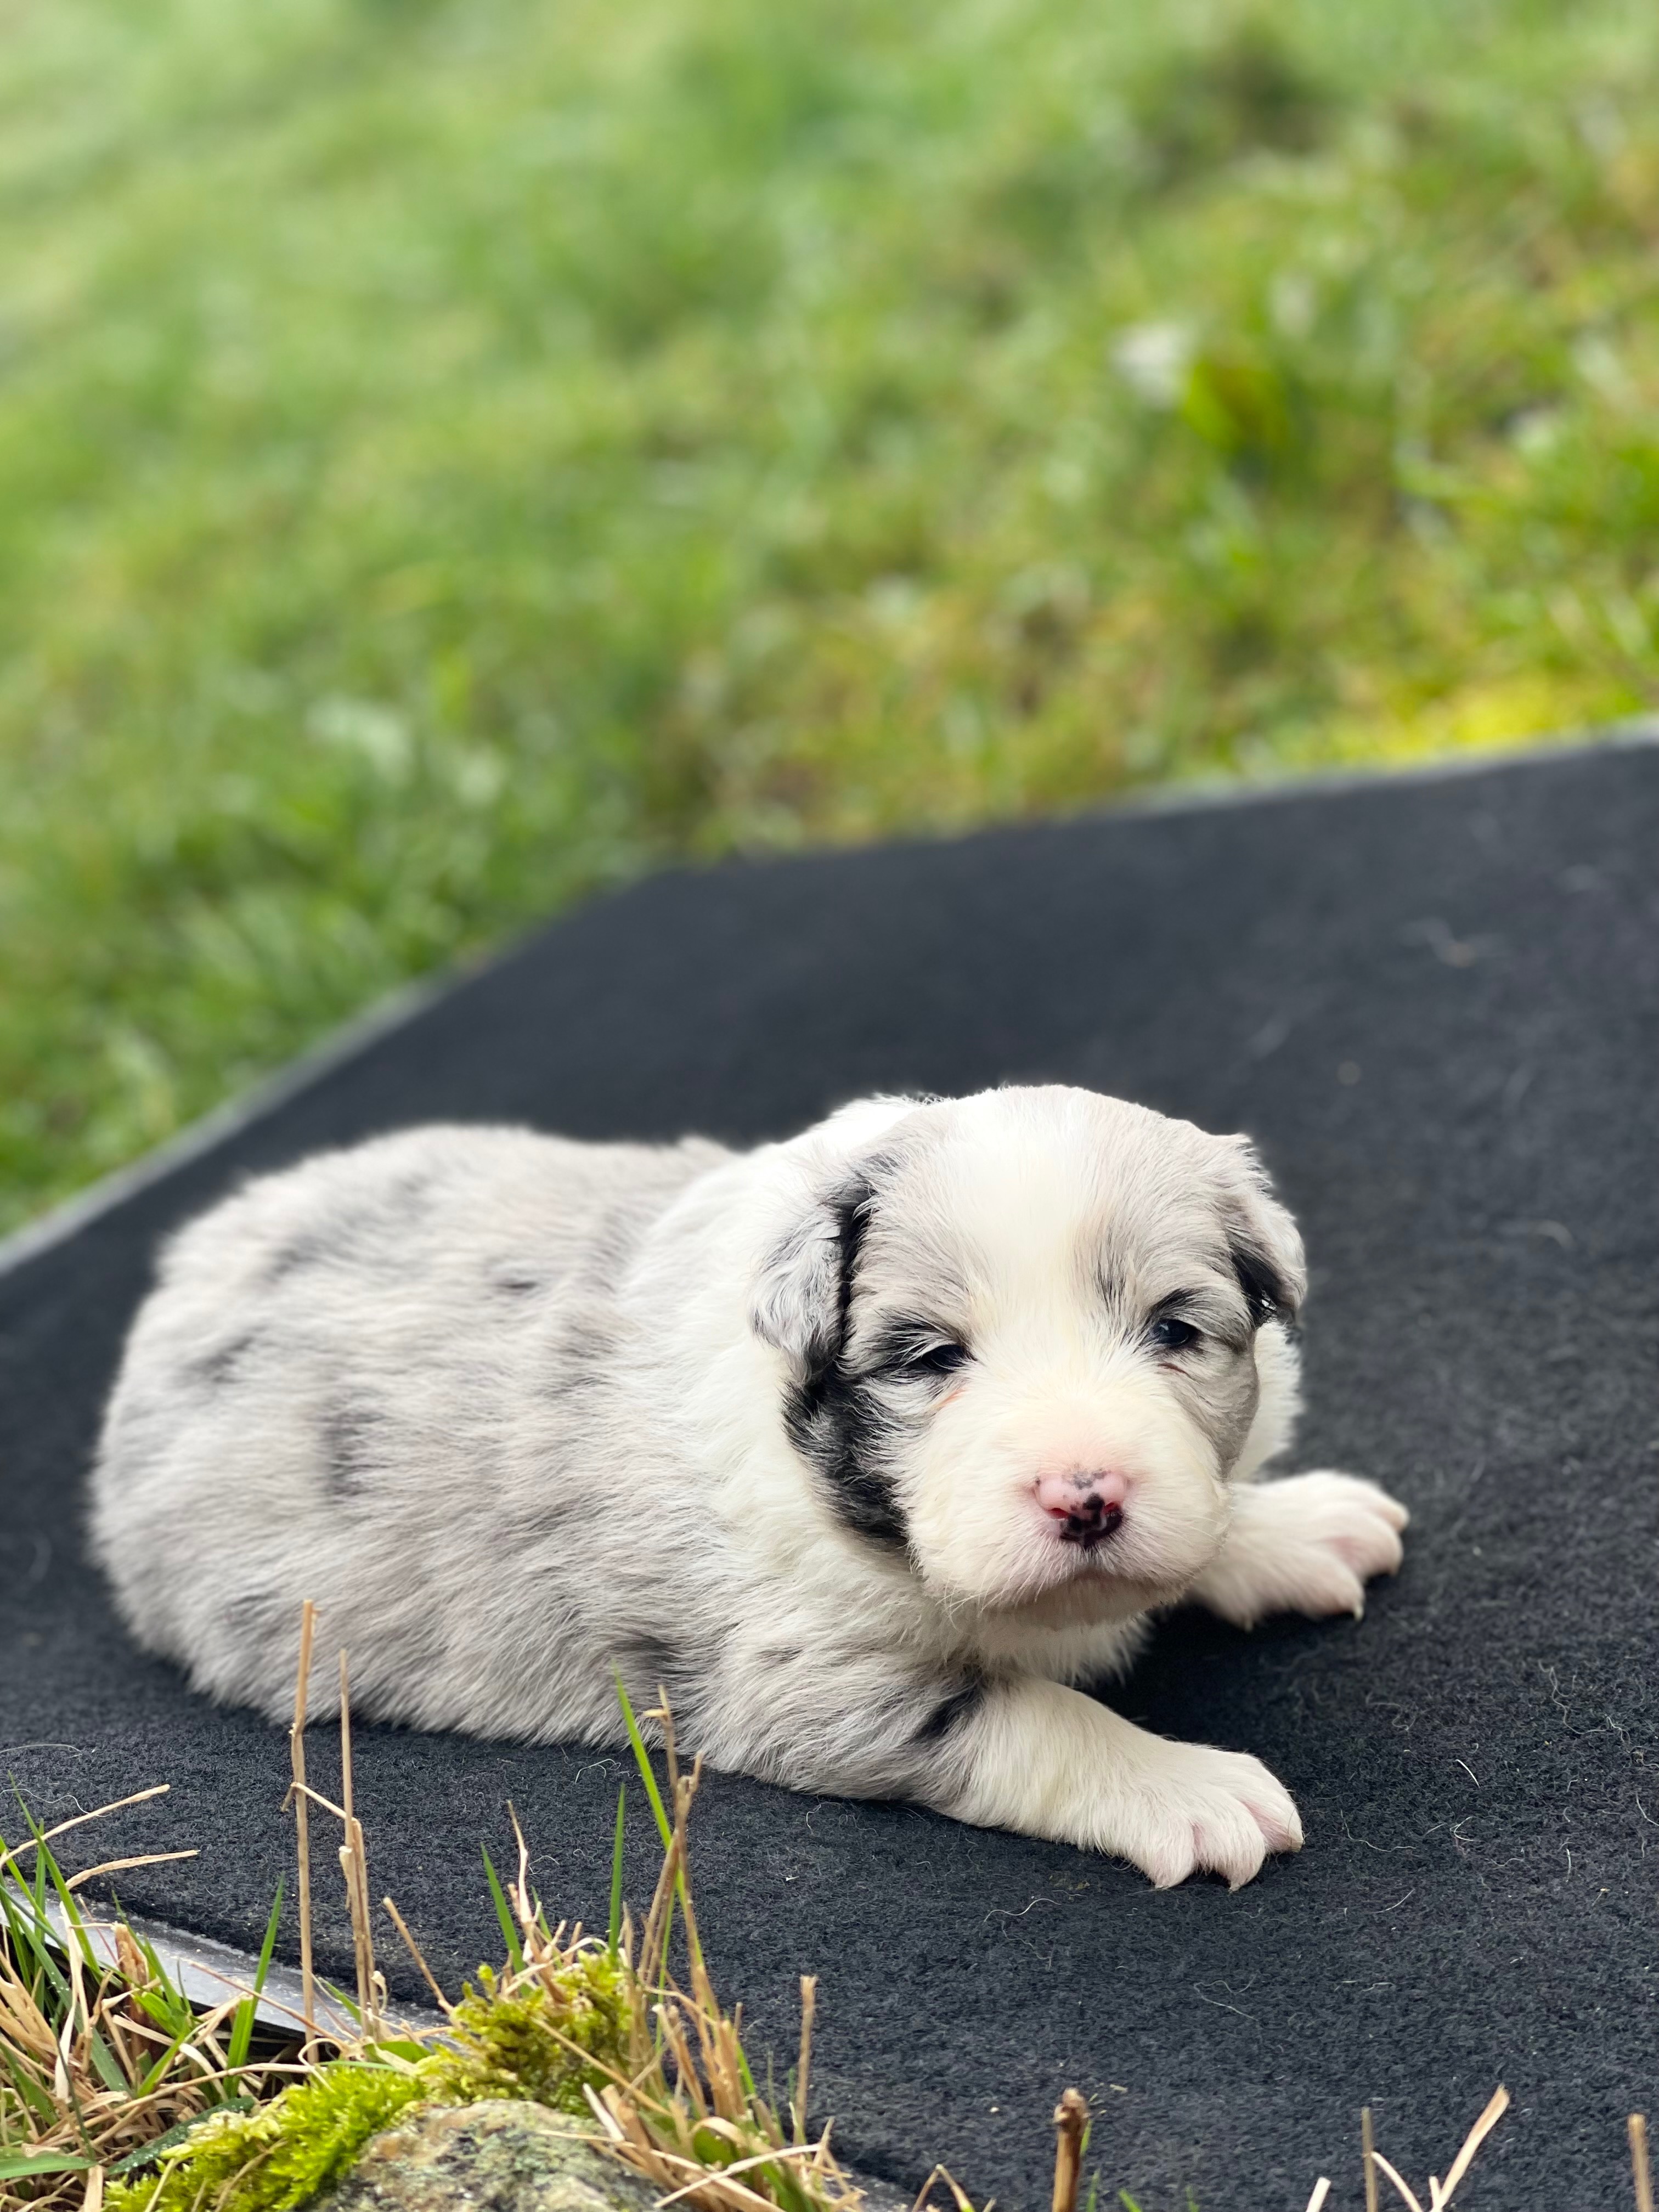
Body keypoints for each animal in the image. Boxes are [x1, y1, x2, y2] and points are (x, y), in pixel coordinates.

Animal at [91, 1084, 1407, 1884]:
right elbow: (1036, 1714)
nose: (1085, 1495)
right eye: (929, 1359)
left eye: (1175, 1330)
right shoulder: (803, 1677)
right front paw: (1187, 1786)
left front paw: (1290, 1525)